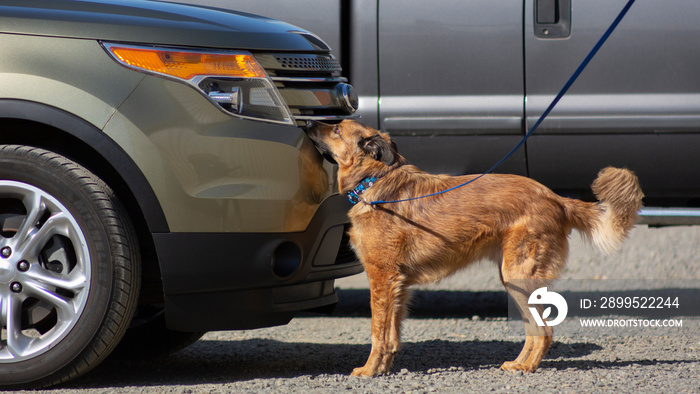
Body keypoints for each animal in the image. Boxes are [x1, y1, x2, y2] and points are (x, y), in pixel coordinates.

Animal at [306, 119, 644, 376]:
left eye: (337, 129)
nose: (307, 122)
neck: (374, 181)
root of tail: (557, 199)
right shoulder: (397, 286)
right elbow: (391, 335)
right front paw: (383, 369)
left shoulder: (382, 278)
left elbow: (377, 333)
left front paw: (369, 371)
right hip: (514, 280)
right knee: (534, 329)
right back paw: (518, 363)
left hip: (518, 277)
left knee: (544, 330)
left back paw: (527, 367)